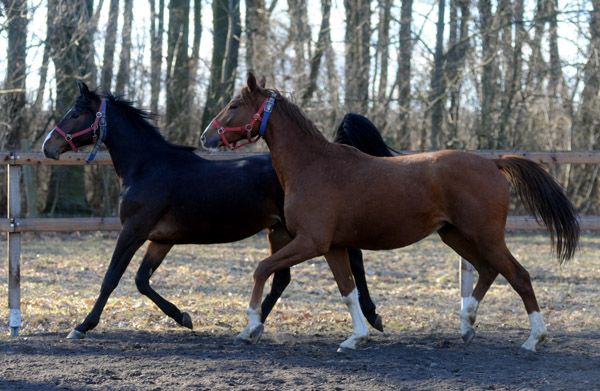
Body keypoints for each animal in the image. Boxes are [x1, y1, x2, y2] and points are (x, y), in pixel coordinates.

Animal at [39, 83, 392, 340]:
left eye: (75, 113)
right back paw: (255, 324)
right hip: (279, 229)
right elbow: (141, 280)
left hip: (303, 230)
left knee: (352, 259)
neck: (147, 167)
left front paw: (82, 326)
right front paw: (183, 317)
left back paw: (372, 315)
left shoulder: (133, 231)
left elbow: (111, 279)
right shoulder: (160, 239)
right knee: (283, 277)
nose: (47, 147)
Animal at [203, 73, 580, 352]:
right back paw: (466, 325)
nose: (206, 137)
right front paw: (356, 337)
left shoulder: (311, 242)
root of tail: (493, 162)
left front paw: (250, 327)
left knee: (519, 276)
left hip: (485, 236)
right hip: (454, 234)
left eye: (234, 104)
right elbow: (348, 290)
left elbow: (262, 268)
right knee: (488, 270)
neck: (313, 166)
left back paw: (534, 339)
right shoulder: (334, 247)